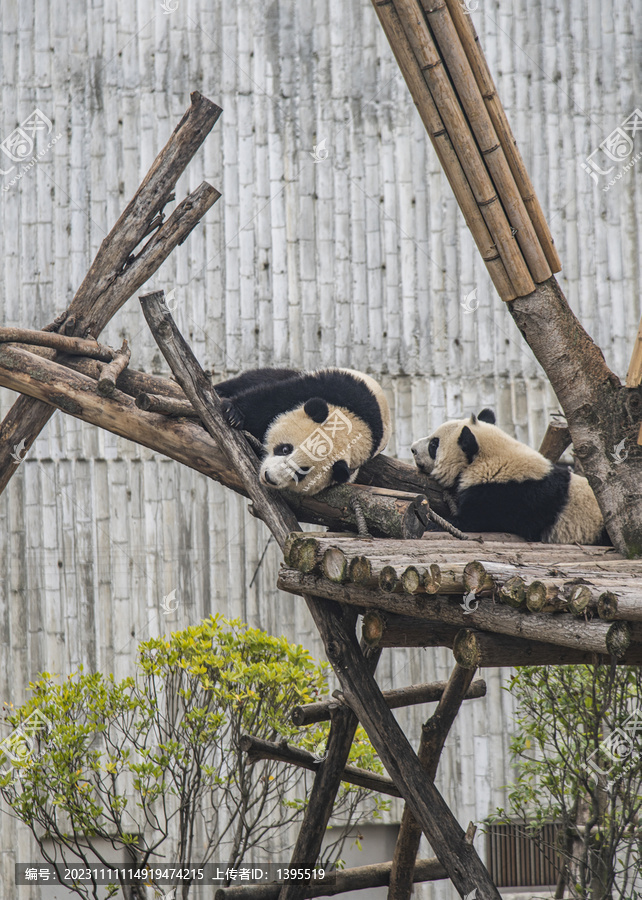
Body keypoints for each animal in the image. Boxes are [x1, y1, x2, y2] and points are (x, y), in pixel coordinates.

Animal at [214, 366, 390, 496]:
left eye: (300, 473)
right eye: (285, 449)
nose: (269, 477)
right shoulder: (336, 389)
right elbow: (272, 398)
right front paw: (234, 414)